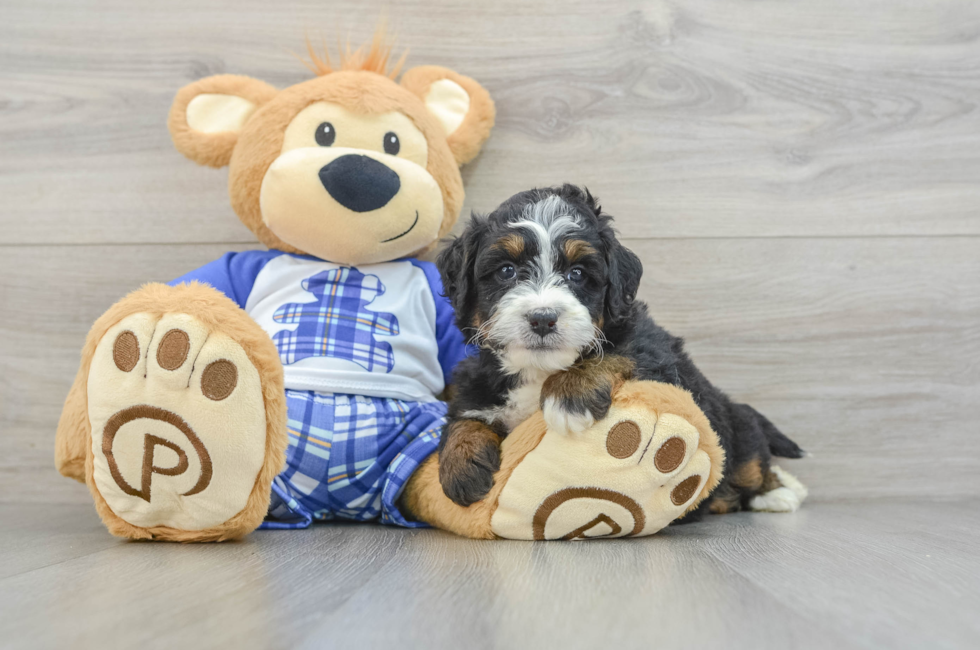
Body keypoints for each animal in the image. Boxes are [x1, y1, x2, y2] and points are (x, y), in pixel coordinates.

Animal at [436, 185, 804, 520]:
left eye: (577, 273)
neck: (538, 369)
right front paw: (461, 463)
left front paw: (569, 394)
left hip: (739, 431)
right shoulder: (479, 382)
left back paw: (781, 492)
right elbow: (466, 414)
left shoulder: (659, 354)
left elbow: (617, 353)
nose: (542, 318)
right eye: (506, 271)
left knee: (754, 466)